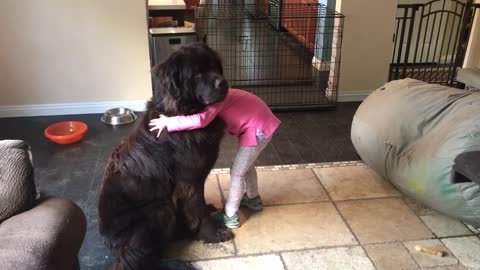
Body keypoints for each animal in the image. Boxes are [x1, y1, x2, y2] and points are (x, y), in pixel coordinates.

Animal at [98, 43, 233, 268]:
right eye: (196, 74)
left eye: (215, 66)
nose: (223, 82)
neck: (182, 113)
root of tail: (106, 240)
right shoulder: (188, 181)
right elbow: (198, 210)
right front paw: (213, 234)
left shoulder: (197, 179)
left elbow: (198, 204)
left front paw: (205, 214)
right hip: (160, 212)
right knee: (143, 255)